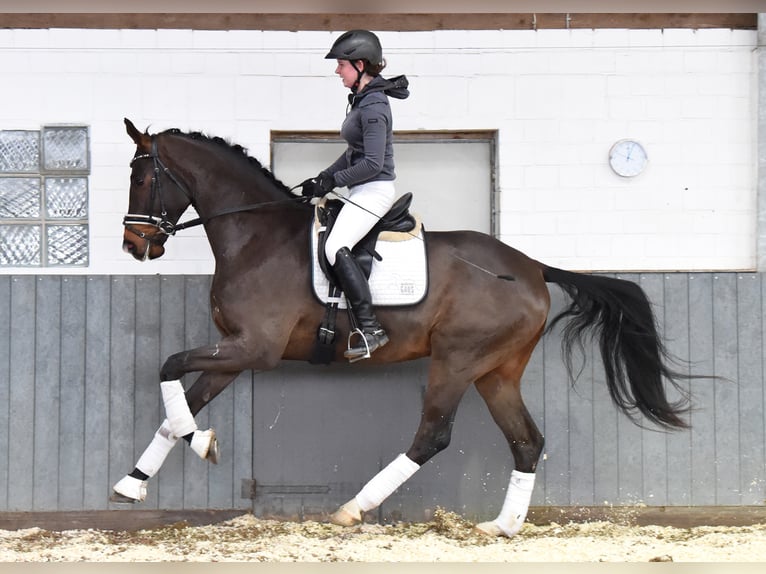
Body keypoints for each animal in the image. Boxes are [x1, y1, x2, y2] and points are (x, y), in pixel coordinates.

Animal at [115, 118, 696, 540]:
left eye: (141, 179)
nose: (135, 245)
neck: (257, 236)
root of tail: (532, 267)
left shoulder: (253, 348)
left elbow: (169, 371)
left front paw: (202, 444)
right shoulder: (235, 350)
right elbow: (177, 408)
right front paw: (134, 482)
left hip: (457, 360)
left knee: (433, 435)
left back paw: (353, 509)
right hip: (497, 371)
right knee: (526, 441)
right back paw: (502, 526)